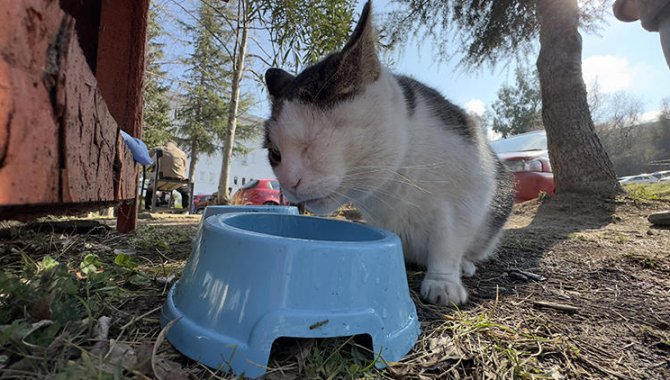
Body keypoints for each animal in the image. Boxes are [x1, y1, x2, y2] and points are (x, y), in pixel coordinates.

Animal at [262, 0, 516, 306]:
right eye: (276, 154)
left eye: (313, 140)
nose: (289, 182)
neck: (396, 178)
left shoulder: (466, 196)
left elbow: (447, 242)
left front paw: (443, 282)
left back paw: (464, 266)